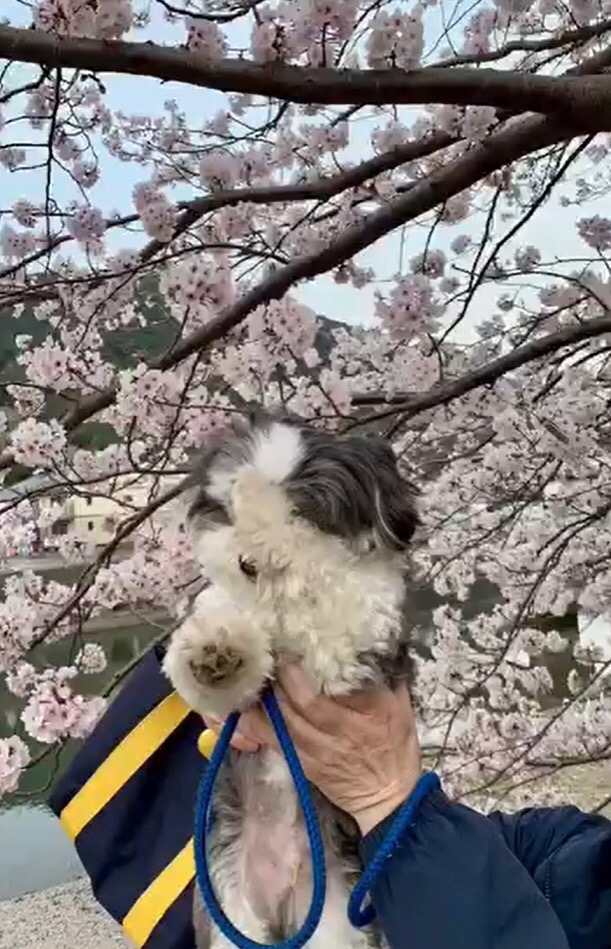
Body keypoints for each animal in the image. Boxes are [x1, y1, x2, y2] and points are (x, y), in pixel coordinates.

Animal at [163, 418, 418, 948]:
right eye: (231, 506)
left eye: (300, 511)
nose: (248, 559)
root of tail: (279, 906)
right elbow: (223, 640)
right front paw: (215, 652)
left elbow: (356, 599)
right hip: (227, 908)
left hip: (334, 918)